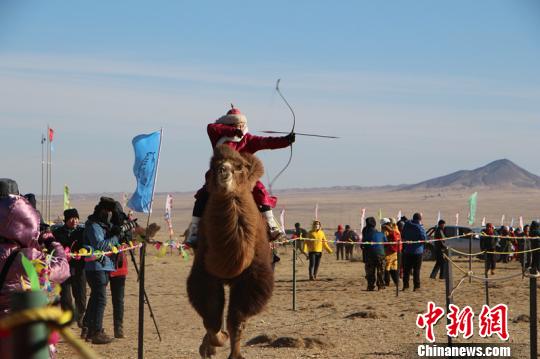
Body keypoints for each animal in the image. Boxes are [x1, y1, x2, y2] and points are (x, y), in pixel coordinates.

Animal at [188, 146, 276, 359]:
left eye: (240, 166)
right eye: (213, 166)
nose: (223, 171)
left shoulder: (252, 278)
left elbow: (237, 319)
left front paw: (235, 354)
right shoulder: (204, 274)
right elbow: (211, 315)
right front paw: (213, 344)